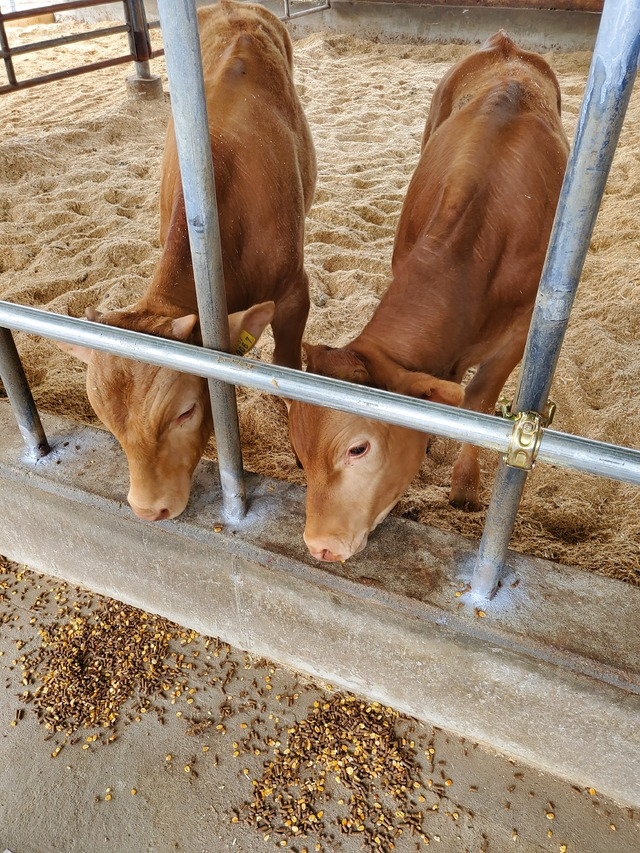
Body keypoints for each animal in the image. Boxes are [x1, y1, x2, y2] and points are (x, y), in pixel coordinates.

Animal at [288, 33, 568, 564]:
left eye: (359, 449)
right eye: (298, 454)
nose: (318, 545)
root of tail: (507, 47)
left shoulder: (518, 336)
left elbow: (478, 403)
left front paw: (464, 486)